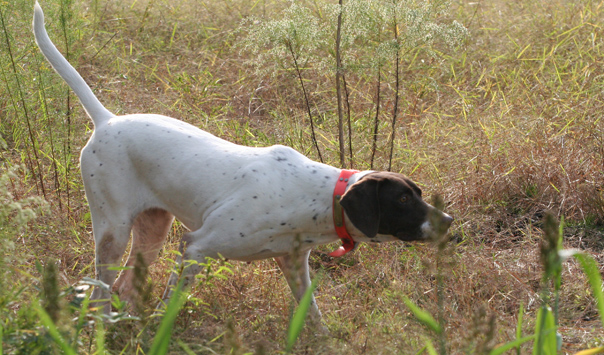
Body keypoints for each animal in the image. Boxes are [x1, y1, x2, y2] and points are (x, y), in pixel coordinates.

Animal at [30, 2, 450, 326]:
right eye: (403, 200)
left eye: (418, 193)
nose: (449, 223)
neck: (316, 196)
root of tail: (107, 120)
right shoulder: (195, 248)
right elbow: (169, 307)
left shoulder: (293, 263)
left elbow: (313, 317)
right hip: (113, 232)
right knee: (102, 291)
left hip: (153, 229)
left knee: (124, 288)